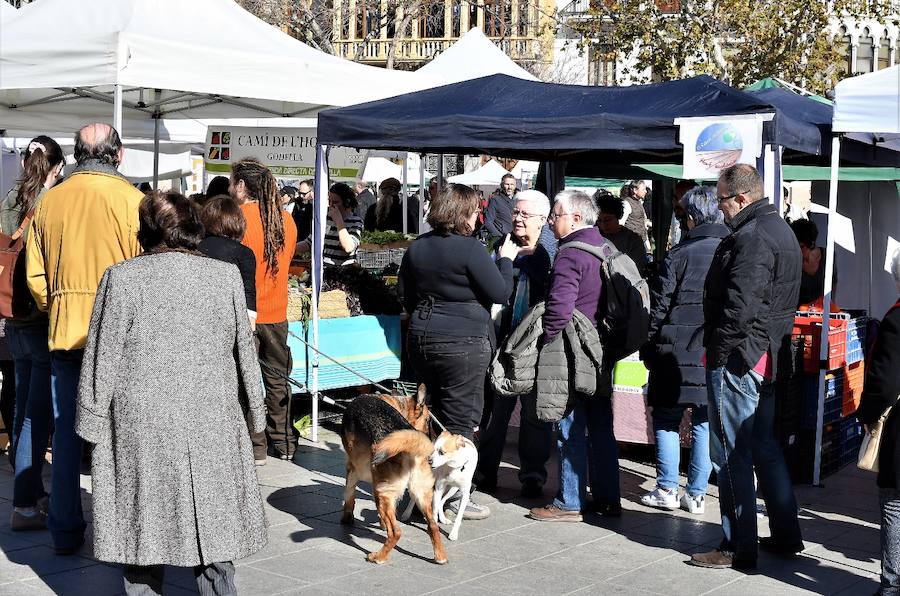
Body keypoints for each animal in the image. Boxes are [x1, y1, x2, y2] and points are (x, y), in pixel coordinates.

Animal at [340, 386, 448, 564]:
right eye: (427, 420)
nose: (433, 436)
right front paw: (381, 523)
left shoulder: (352, 469)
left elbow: (349, 497)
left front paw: (347, 519)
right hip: (421, 494)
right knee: (432, 525)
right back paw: (440, 556)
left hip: (381, 493)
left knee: (396, 532)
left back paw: (379, 557)